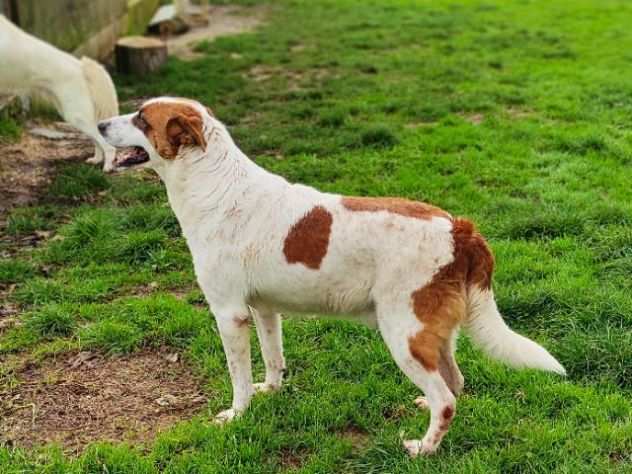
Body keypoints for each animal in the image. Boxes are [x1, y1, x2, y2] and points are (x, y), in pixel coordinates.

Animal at [0, 16, 118, 170]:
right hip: (73, 115)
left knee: (108, 146)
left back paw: (107, 167)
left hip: (75, 116)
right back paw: (96, 160)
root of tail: (80, 66)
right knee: (97, 141)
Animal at [100, 96, 568, 456]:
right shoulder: (264, 309)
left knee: (447, 400)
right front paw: (272, 392)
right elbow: (273, 359)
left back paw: (423, 449)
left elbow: (238, 378)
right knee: (455, 384)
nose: (101, 124)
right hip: (429, 333)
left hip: (402, 334)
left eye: (142, 118)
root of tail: (460, 228)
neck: (213, 182)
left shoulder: (229, 313)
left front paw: (237, 415)